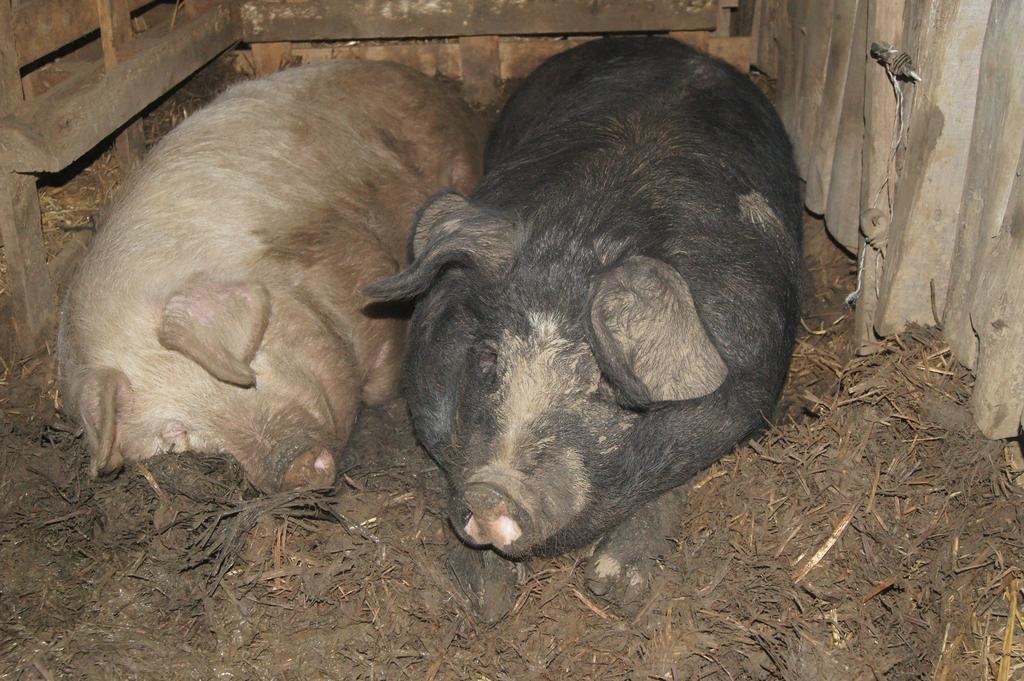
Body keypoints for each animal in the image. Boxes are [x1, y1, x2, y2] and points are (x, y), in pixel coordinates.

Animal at [364, 38, 802, 614]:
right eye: (488, 358)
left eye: (601, 384)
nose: (492, 490)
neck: (587, 235)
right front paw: (488, 600)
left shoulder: (744, 402)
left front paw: (614, 586)